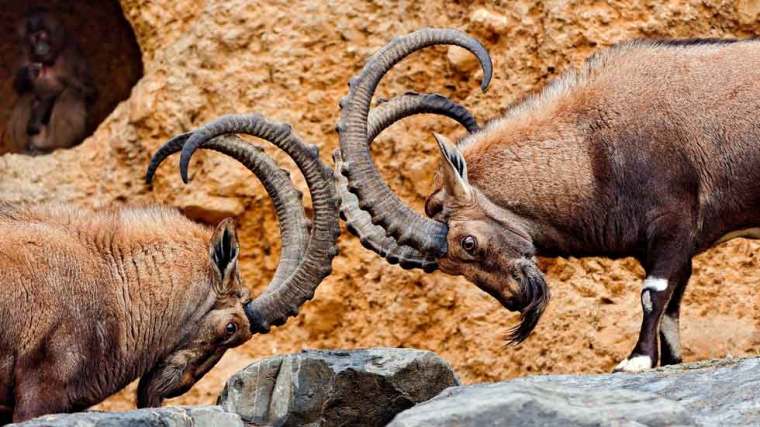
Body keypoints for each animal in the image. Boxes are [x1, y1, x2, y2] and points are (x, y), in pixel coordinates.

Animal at [336, 28, 760, 372]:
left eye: (468, 242)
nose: (516, 299)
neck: (589, 147)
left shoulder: (673, 223)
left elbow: (653, 293)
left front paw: (636, 360)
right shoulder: (663, 246)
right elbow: (672, 304)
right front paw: (670, 362)